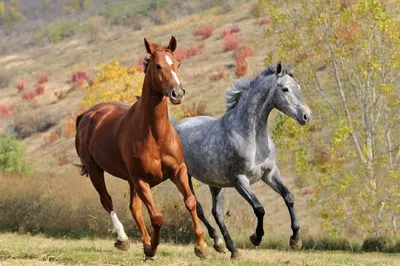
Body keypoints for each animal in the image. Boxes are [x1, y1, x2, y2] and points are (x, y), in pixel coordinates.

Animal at [73, 36, 208, 258]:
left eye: (177, 64)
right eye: (158, 66)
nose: (177, 93)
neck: (156, 136)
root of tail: (87, 115)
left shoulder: (178, 171)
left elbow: (190, 202)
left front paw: (202, 246)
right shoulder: (141, 180)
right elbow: (157, 217)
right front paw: (152, 248)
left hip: (130, 180)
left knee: (134, 208)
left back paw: (143, 241)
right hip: (95, 171)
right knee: (107, 201)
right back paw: (124, 239)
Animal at [172, 61, 312, 258]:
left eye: (297, 87)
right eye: (285, 89)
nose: (307, 116)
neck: (250, 137)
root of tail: (176, 125)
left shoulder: (270, 173)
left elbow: (289, 197)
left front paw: (295, 240)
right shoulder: (240, 180)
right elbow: (259, 208)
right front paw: (256, 237)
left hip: (215, 183)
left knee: (217, 213)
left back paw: (229, 248)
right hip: (184, 177)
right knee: (196, 208)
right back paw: (217, 244)